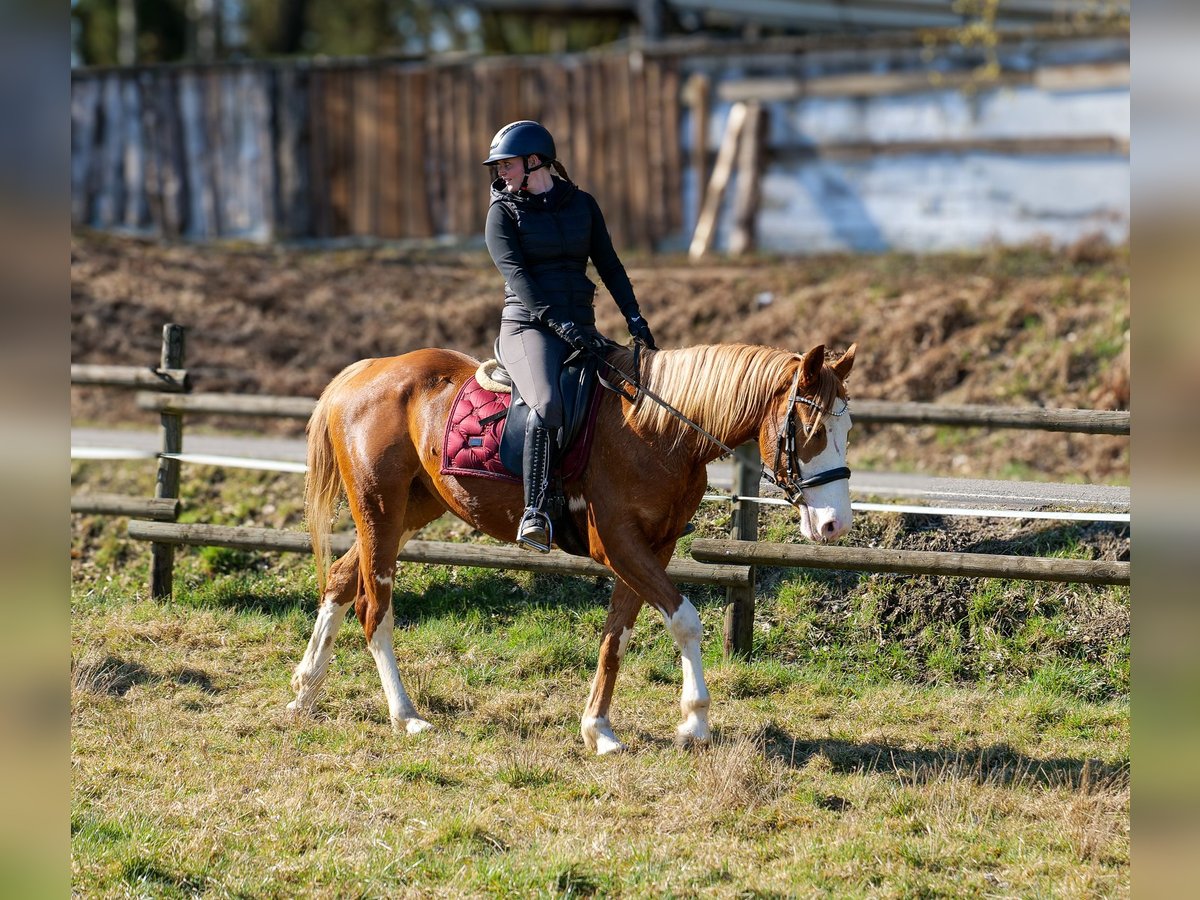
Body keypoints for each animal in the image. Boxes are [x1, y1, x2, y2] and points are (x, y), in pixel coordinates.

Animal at [289, 340, 854, 758]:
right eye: (812, 429)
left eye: (847, 428)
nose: (835, 525)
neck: (656, 430)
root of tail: (365, 371)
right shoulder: (621, 545)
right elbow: (685, 620)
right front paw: (694, 721)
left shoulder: (654, 548)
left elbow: (616, 637)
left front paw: (598, 729)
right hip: (380, 512)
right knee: (374, 608)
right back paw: (405, 716)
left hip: (411, 510)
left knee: (341, 580)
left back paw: (305, 690)